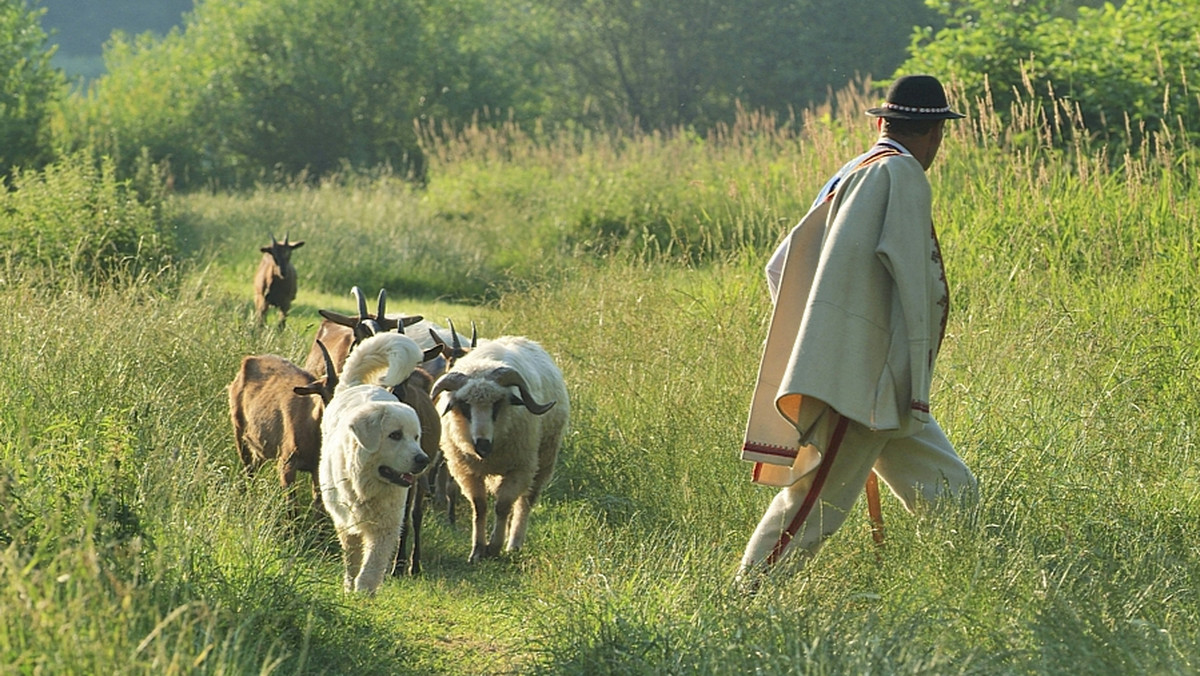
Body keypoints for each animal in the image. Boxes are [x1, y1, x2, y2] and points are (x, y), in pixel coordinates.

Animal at [429, 336, 568, 564]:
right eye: (464, 405)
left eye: (497, 404)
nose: (482, 444)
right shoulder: (467, 471)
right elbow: (480, 507)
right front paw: (478, 550)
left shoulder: (520, 468)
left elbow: (502, 506)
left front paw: (494, 546)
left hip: (543, 459)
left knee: (525, 502)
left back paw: (514, 543)